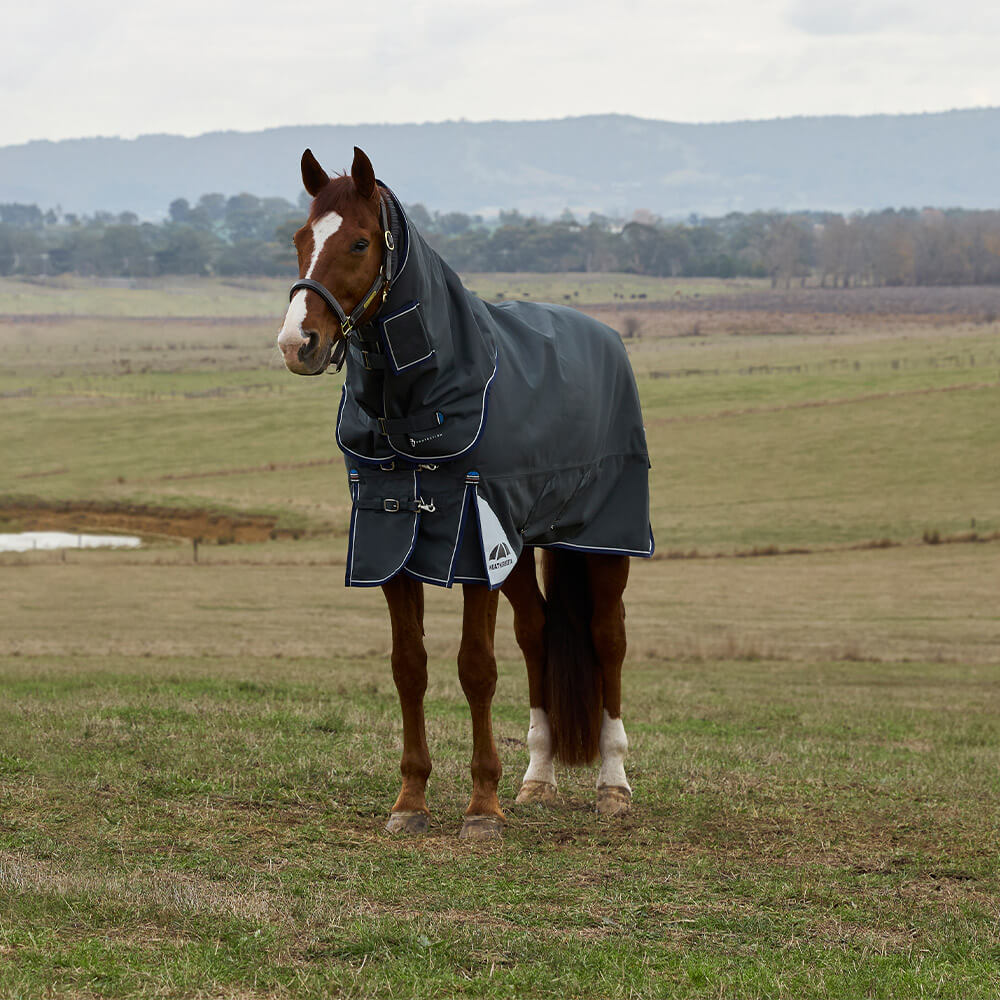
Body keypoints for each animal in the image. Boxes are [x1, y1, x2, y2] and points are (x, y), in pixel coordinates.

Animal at [277, 147, 652, 840]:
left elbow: (476, 668)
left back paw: (613, 784)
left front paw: (481, 809)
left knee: (608, 637)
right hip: (524, 545)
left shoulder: (475, 542)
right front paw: (410, 801)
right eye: (299, 240)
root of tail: (604, 337)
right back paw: (538, 778)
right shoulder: (392, 539)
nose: (298, 343)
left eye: (360, 241)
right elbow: (409, 667)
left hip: (604, 538)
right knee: (537, 633)